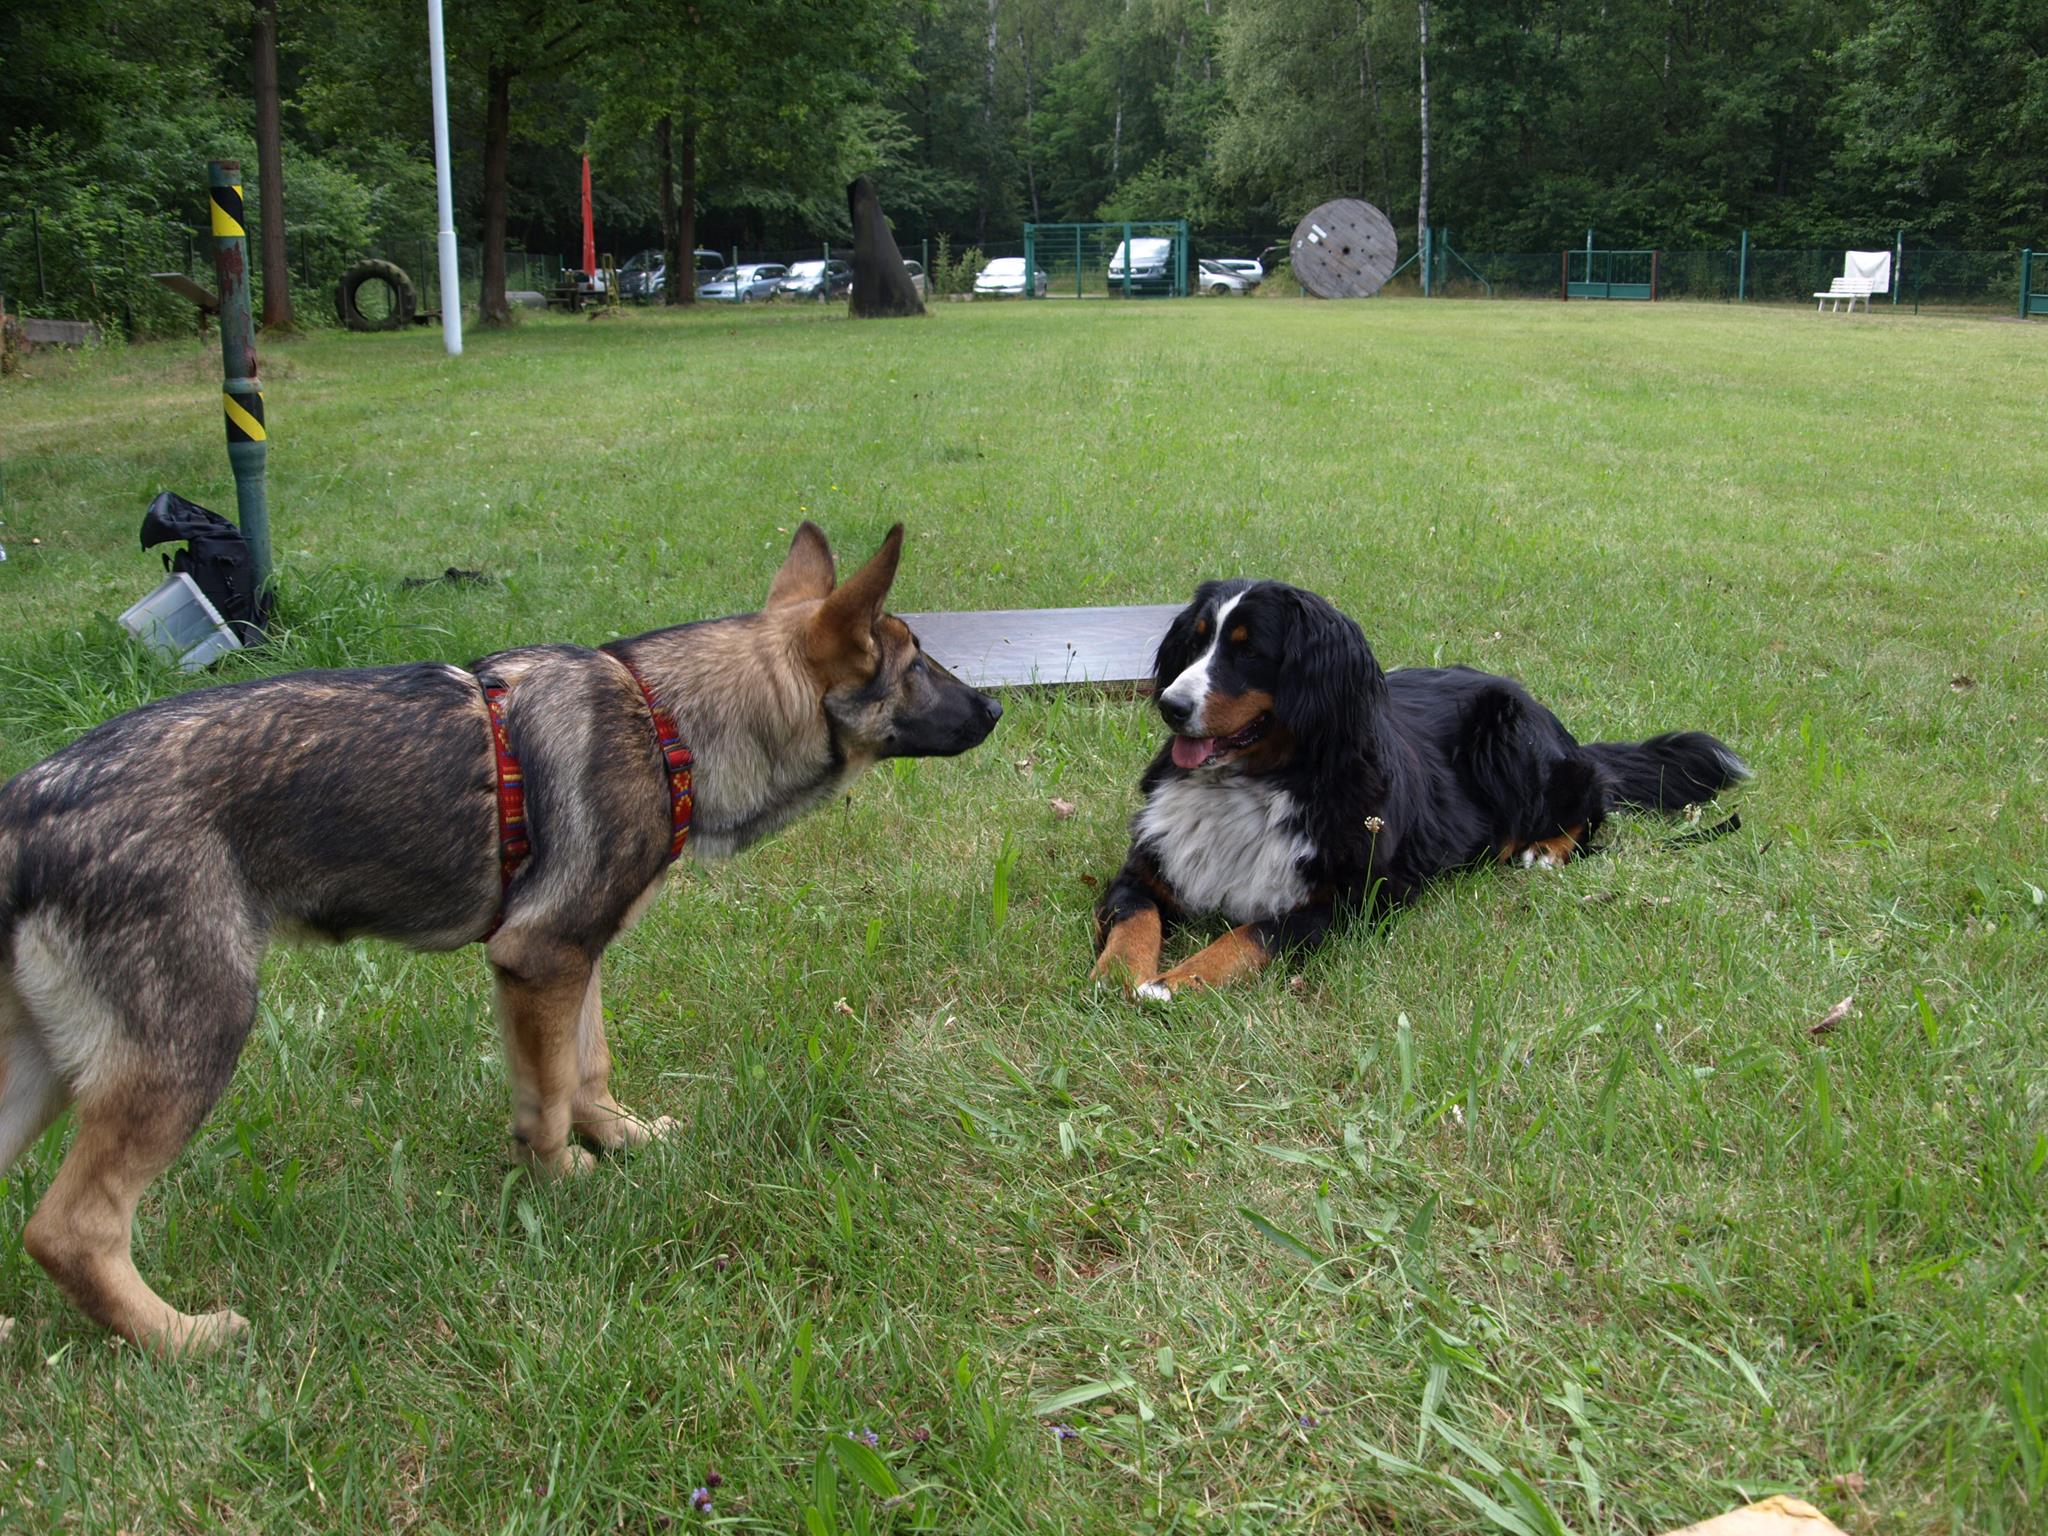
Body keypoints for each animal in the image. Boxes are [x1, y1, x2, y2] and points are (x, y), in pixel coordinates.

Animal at [0, 522, 1001, 1353]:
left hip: (39, 1071)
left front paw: (624, 1139)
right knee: (70, 1228)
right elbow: (548, 1094)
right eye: (916, 664)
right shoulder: (540, 957)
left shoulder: (574, 956)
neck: (667, 721)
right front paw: (564, 1180)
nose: (995, 709)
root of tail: (24, 809)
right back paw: (183, 1339)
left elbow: (586, 1067)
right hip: (194, 1035)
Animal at [1091, 579, 1748, 1001]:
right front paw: (1118, 974)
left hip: (1508, 734)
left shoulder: (1354, 899)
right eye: (1196, 641)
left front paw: (1178, 980)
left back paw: (1540, 848)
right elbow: (1134, 918)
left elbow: (1254, 934)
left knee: (1591, 800)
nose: (1171, 705)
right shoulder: (1147, 867)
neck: (1255, 782)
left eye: (1247, 649)